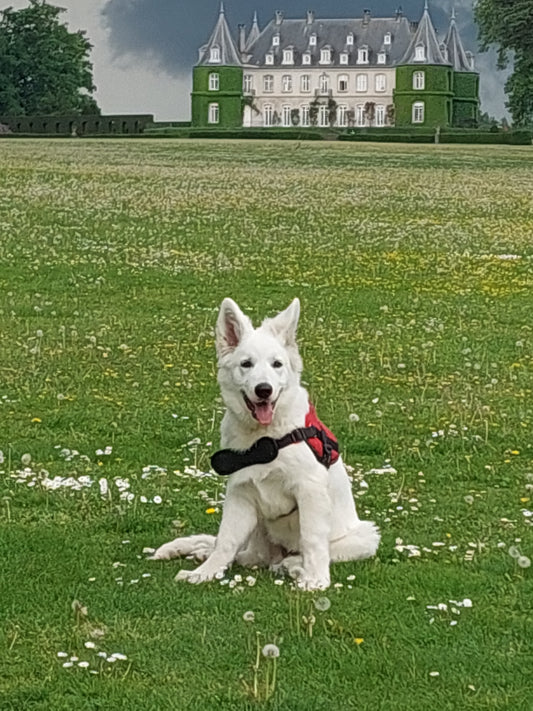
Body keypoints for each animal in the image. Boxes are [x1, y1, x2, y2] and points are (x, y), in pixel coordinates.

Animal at [152, 298, 380, 592]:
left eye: (277, 364)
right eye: (246, 364)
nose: (264, 390)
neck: (266, 439)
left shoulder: (309, 490)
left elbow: (312, 539)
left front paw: (316, 579)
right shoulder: (241, 494)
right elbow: (225, 541)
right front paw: (205, 572)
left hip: (365, 536)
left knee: (303, 553)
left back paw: (293, 565)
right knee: (249, 555)